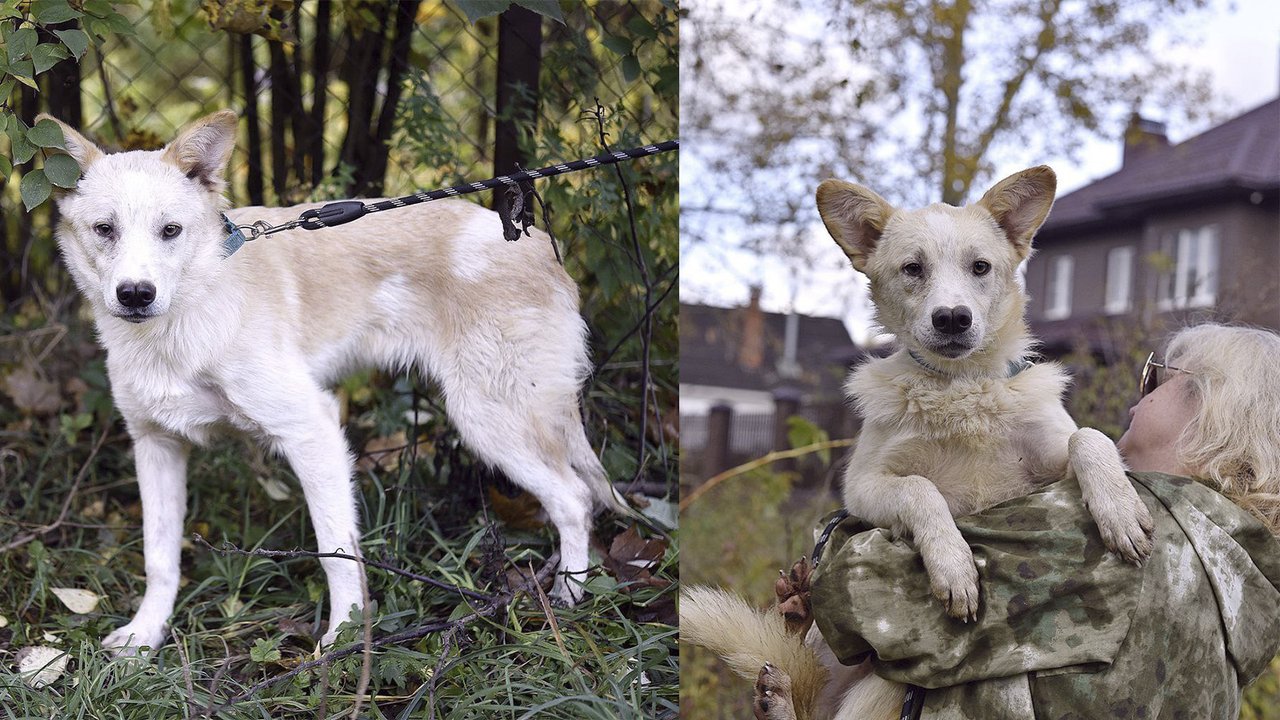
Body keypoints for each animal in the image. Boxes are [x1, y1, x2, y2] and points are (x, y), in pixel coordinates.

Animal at [42, 110, 632, 650]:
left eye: (171, 231)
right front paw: (146, 635)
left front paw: (343, 640)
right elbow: (159, 557)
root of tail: (543, 251)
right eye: (104, 230)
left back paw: (568, 597)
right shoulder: (156, 446)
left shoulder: (313, 432)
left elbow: (336, 551)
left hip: (491, 420)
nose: (135, 295)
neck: (185, 319)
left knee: (575, 499)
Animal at [686, 165, 1157, 712]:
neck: (960, 390)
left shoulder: (1049, 462)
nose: (952, 317)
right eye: (913, 268)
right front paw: (953, 566)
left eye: (980, 267)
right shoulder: (864, 487)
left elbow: (1090, 438)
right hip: (872, 683)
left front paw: (1119, 511)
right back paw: (789, 647)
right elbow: (921, 489)